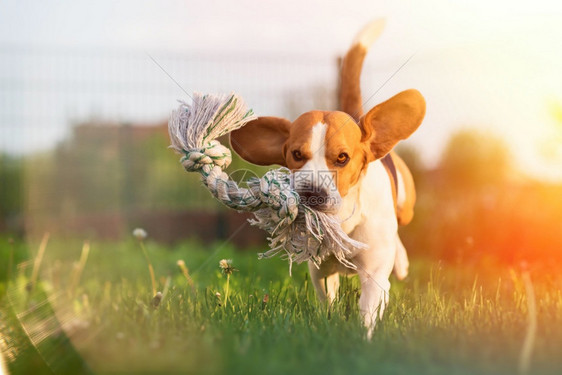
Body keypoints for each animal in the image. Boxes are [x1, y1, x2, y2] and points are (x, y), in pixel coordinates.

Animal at [230, 19, 422, 338]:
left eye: (342, 157)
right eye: (296, 154)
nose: (312, 192)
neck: (341, 220)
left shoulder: (373, 274)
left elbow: (368, 308)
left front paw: (362, 339)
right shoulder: (320, 271)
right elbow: (327, 300)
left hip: (406, 207)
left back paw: (402, 259)